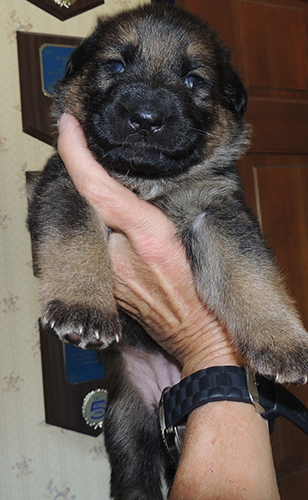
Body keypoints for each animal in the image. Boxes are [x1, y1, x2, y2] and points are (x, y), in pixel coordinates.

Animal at [26, 4, 308, 500]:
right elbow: (74, 237)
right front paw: (83, 304)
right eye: (116, 66)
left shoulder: (218, 211)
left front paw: (279, 339)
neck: (147, 180)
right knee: (136, 478)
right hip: (127, 424)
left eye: (194, 79)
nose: (146, 118)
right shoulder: (66, 183)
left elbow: (250, 273)